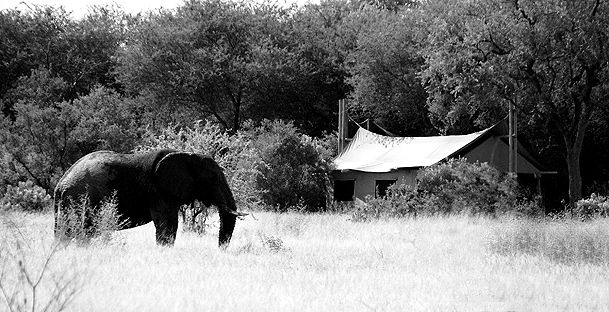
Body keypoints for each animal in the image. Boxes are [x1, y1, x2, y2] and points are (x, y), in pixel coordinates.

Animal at [53, 150, 246, 247]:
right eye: (213, 178)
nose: (220, 250)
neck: (187, 155)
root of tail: (60, 184)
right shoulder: (158, 191)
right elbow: (168, 224)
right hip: (80, 199)